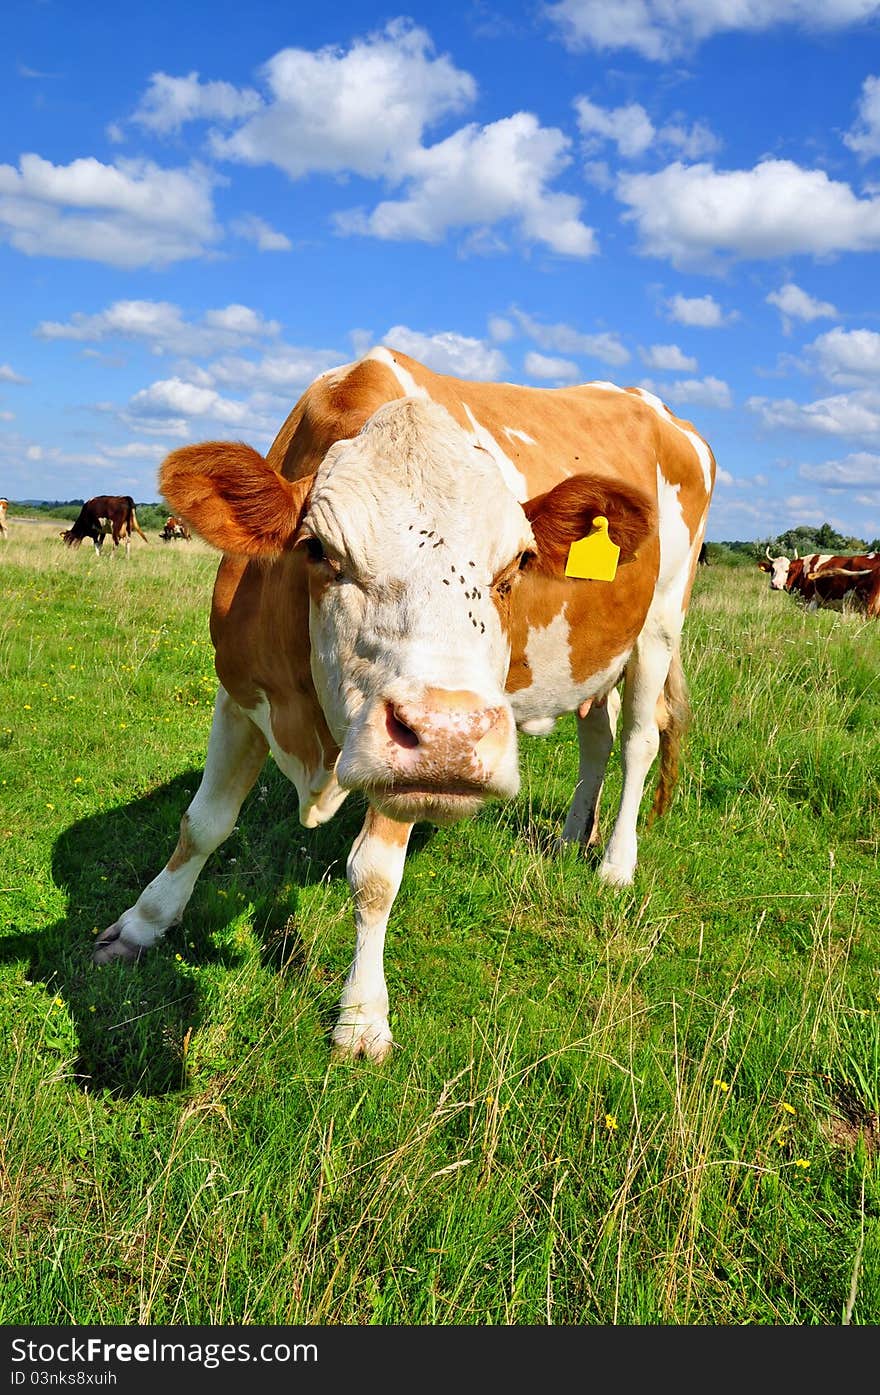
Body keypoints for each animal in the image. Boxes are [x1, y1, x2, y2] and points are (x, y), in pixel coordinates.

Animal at [94, 345, 714, 1054]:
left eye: (517, 565)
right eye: (318, 550)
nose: (453, 733)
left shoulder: (409, 772)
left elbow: (373, 876)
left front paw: (362, 1014)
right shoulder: (239, 691)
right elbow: (202, 824)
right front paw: (140, 925)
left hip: (660, 625)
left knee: (639, 740)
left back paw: (615, 863)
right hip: (594, 655)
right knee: (598, 737)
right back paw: (566, 839)